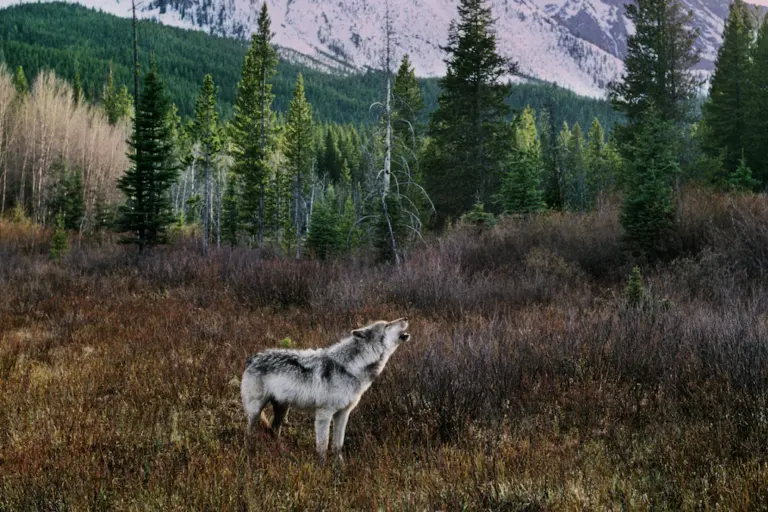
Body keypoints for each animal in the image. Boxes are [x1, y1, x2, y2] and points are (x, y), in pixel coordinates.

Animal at [240, 317, 410, 463]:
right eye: (387, 325)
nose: (406, 318)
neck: (351, 368)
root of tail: (252, 358)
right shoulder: (324, 414)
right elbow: (323, 446)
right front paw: (323, 469)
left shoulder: (343, 414)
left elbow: (337, 445)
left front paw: (340, 467)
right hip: (255, 410)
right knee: (249, 433)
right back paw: (250, 453)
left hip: (282, 410)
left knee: (274, 431)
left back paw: (280, 453)